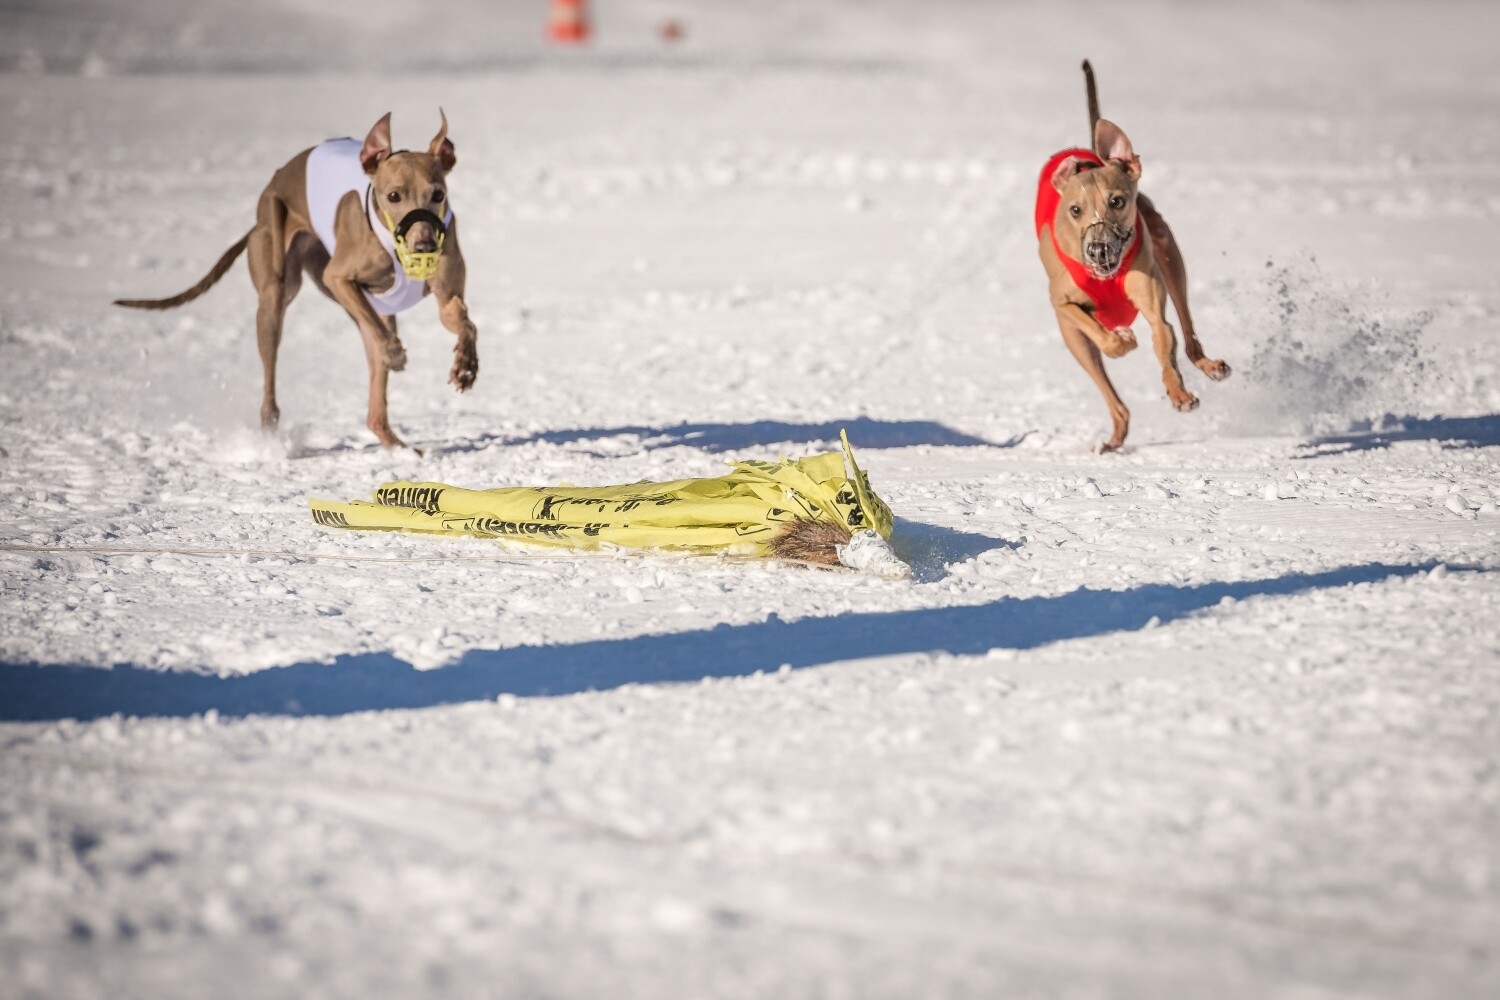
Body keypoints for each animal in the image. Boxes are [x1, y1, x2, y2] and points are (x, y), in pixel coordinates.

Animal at [117, 112, 480, 449]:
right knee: (275, 377)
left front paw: (466, 366)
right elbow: (381, 335)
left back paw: (401, 449)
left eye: (438, 194)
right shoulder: (338, 278)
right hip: (276, 293)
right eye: (393, 196)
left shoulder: (445, 295)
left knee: (374, 404)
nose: (425, 247)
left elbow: (462, 320)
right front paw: (397, 354)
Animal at [1032, 63, 1230, 452]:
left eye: (1117, 201)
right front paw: (1122, 340)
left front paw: (1180, 395)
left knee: (1187, 334)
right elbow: (1105, 339)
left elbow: (1164, 338)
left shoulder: (1155, 310)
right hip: (1073, 339)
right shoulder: (1061, 303)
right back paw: (1113, 438)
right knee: (1113, 395)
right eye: (1075, 210)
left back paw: (1209, 365)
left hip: (1169, 252)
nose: (1098, 249)